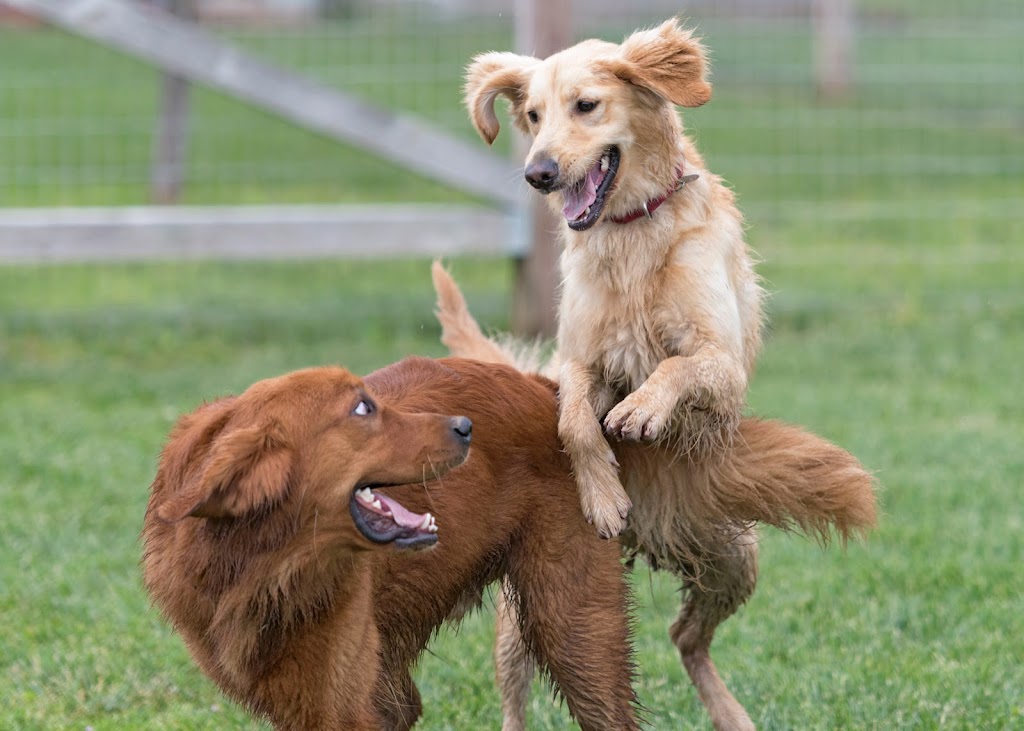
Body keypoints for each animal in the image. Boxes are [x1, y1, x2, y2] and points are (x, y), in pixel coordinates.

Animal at [464, 17, 761, 536]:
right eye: (534, 115)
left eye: (585, 105)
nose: (537, 174)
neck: (632, 231)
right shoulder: (582, 357)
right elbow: (572, 423)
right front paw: (603, 498)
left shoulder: (725, 364)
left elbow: (676, 365)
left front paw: (642, 406)